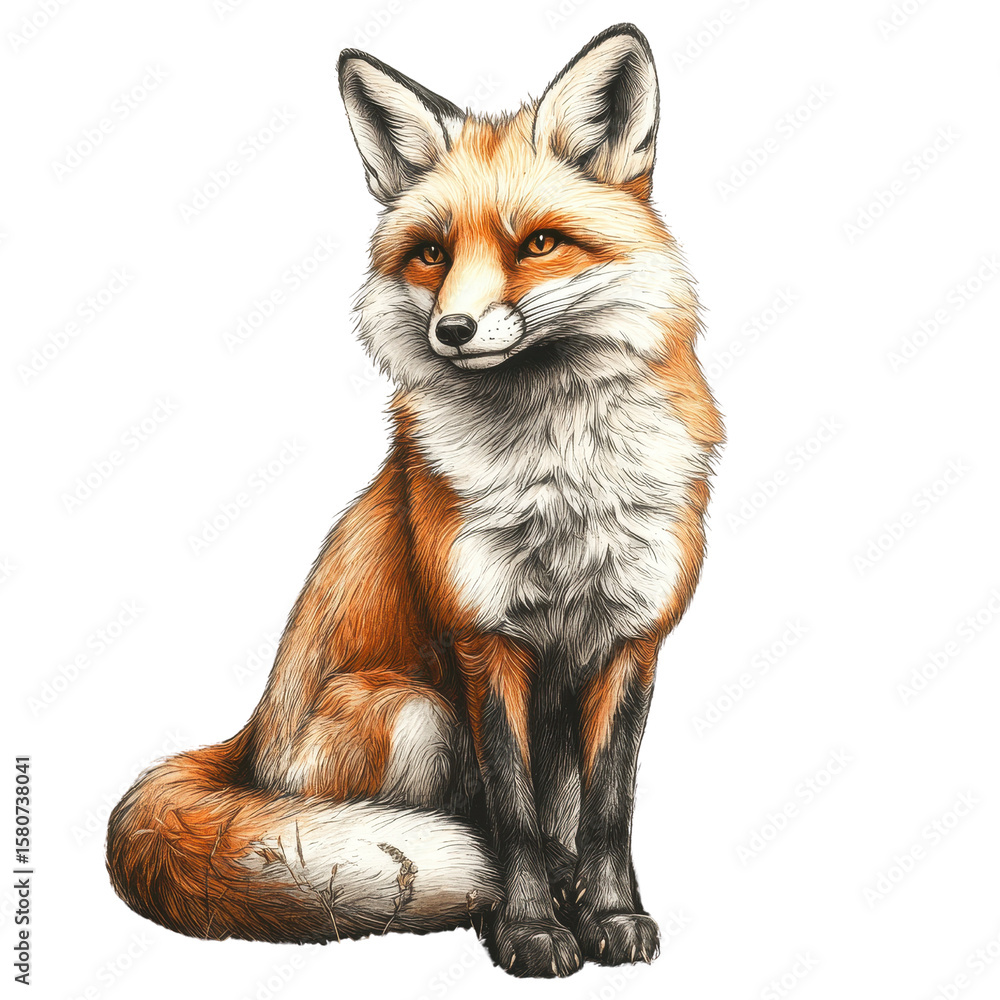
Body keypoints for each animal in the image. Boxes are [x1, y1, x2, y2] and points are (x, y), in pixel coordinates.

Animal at [106, 23, 723, 978]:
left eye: (538, 244)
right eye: (433, 253)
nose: (453, 331)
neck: (563, 483)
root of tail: (248, 743)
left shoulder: (633, 640)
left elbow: (611, 808)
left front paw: (613, 915)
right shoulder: (483, 642)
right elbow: (512, 814)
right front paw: (530, 931)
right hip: (415, 714)